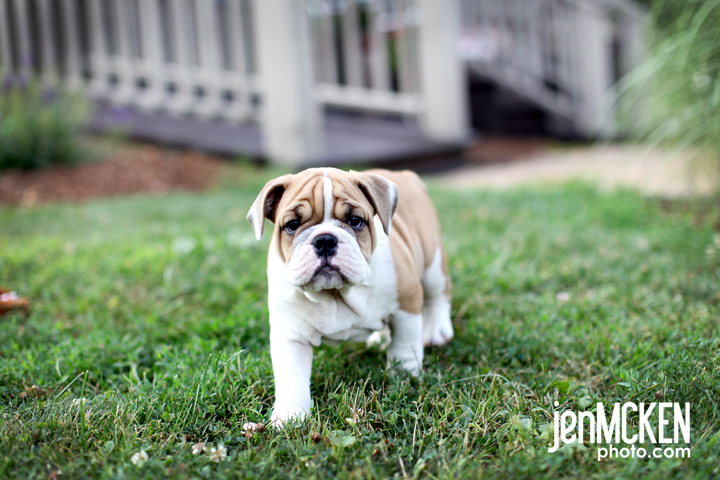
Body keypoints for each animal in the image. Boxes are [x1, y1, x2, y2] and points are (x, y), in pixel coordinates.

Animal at [247, 168, 453, 425]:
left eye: (355, 221)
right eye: (292, 225)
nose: (325, 240)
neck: (335, 294)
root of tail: (404, 174)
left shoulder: (407, 304)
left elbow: (404, 346)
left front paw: (403, 376)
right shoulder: (290, 335)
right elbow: (291, 376)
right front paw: (290, 416)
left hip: (432, 262)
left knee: (438, 294)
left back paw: (437, 330)